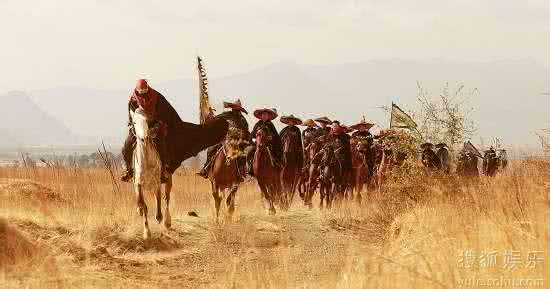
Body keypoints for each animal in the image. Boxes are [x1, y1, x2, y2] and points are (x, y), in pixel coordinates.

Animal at [129, 108, 172, 238]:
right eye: (134, 122)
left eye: (147, 121)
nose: (144, 138)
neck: (146, 160)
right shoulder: (138, 184)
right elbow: (143, 205)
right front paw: (147, 232)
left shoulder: (157, 182)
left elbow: (159, 201)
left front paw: (159, 217)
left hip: (167, 181)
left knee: (166, 199)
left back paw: (167, 222)